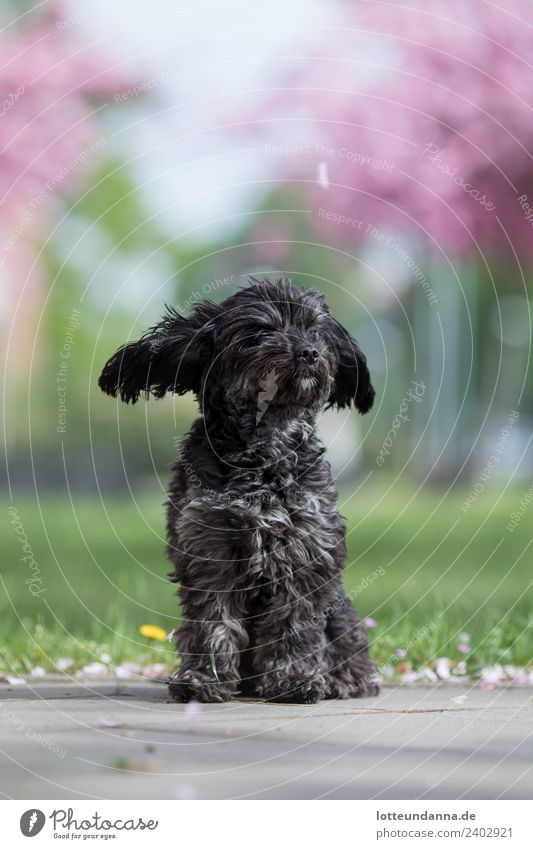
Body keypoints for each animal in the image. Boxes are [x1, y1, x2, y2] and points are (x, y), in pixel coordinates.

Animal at [96, 278, 378, 704]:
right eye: (260, 332)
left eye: (315, 331)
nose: (309, 352)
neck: (264, 452)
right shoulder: (210, 548)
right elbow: (212, 622)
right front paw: (203, 680)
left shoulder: (305, 548)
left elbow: (294, 621)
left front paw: (294, 680)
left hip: (342, 613)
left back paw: (343, 680)